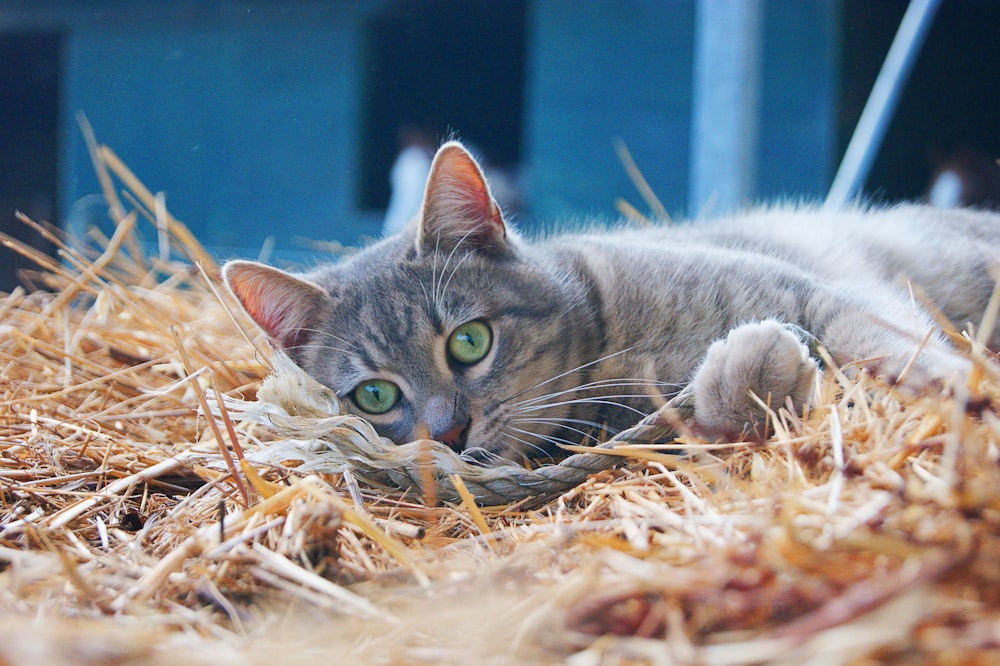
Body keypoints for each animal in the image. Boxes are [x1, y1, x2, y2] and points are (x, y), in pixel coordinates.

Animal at [227, 140, 1000, 462]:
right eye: (376, 398)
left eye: (469, 341)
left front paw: (955, 384)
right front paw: (750, 375)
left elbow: (887, 341)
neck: (609, 347)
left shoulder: (815, 291)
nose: (448, 433)